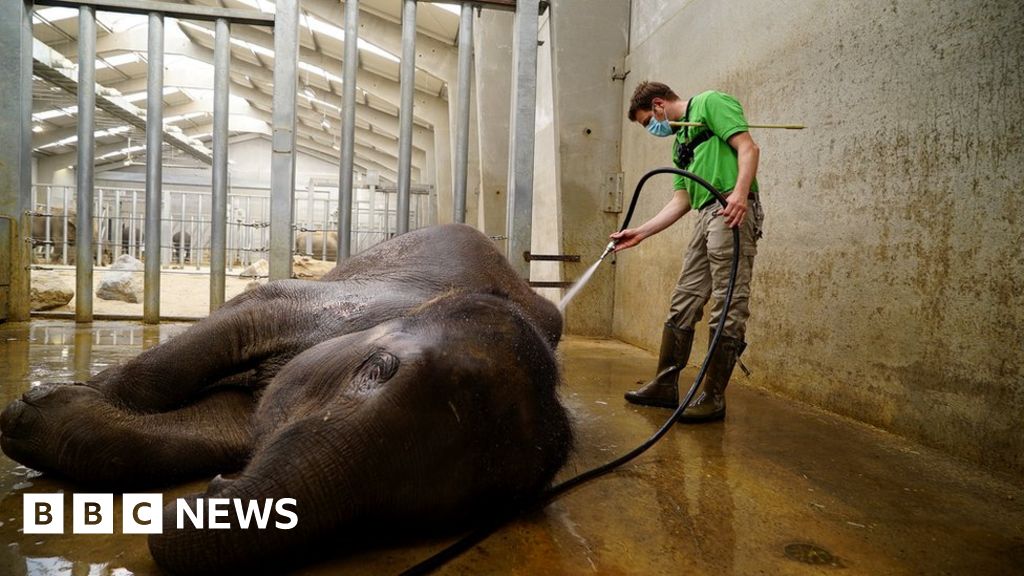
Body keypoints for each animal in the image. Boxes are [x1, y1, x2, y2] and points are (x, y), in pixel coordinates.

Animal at [0, 222, 573, 569]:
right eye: (377, 369)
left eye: (436, 510)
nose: (203, 495)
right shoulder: (332, 306)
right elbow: (242, 318)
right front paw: (34, 403)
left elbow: (221, 429)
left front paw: (42, 414)